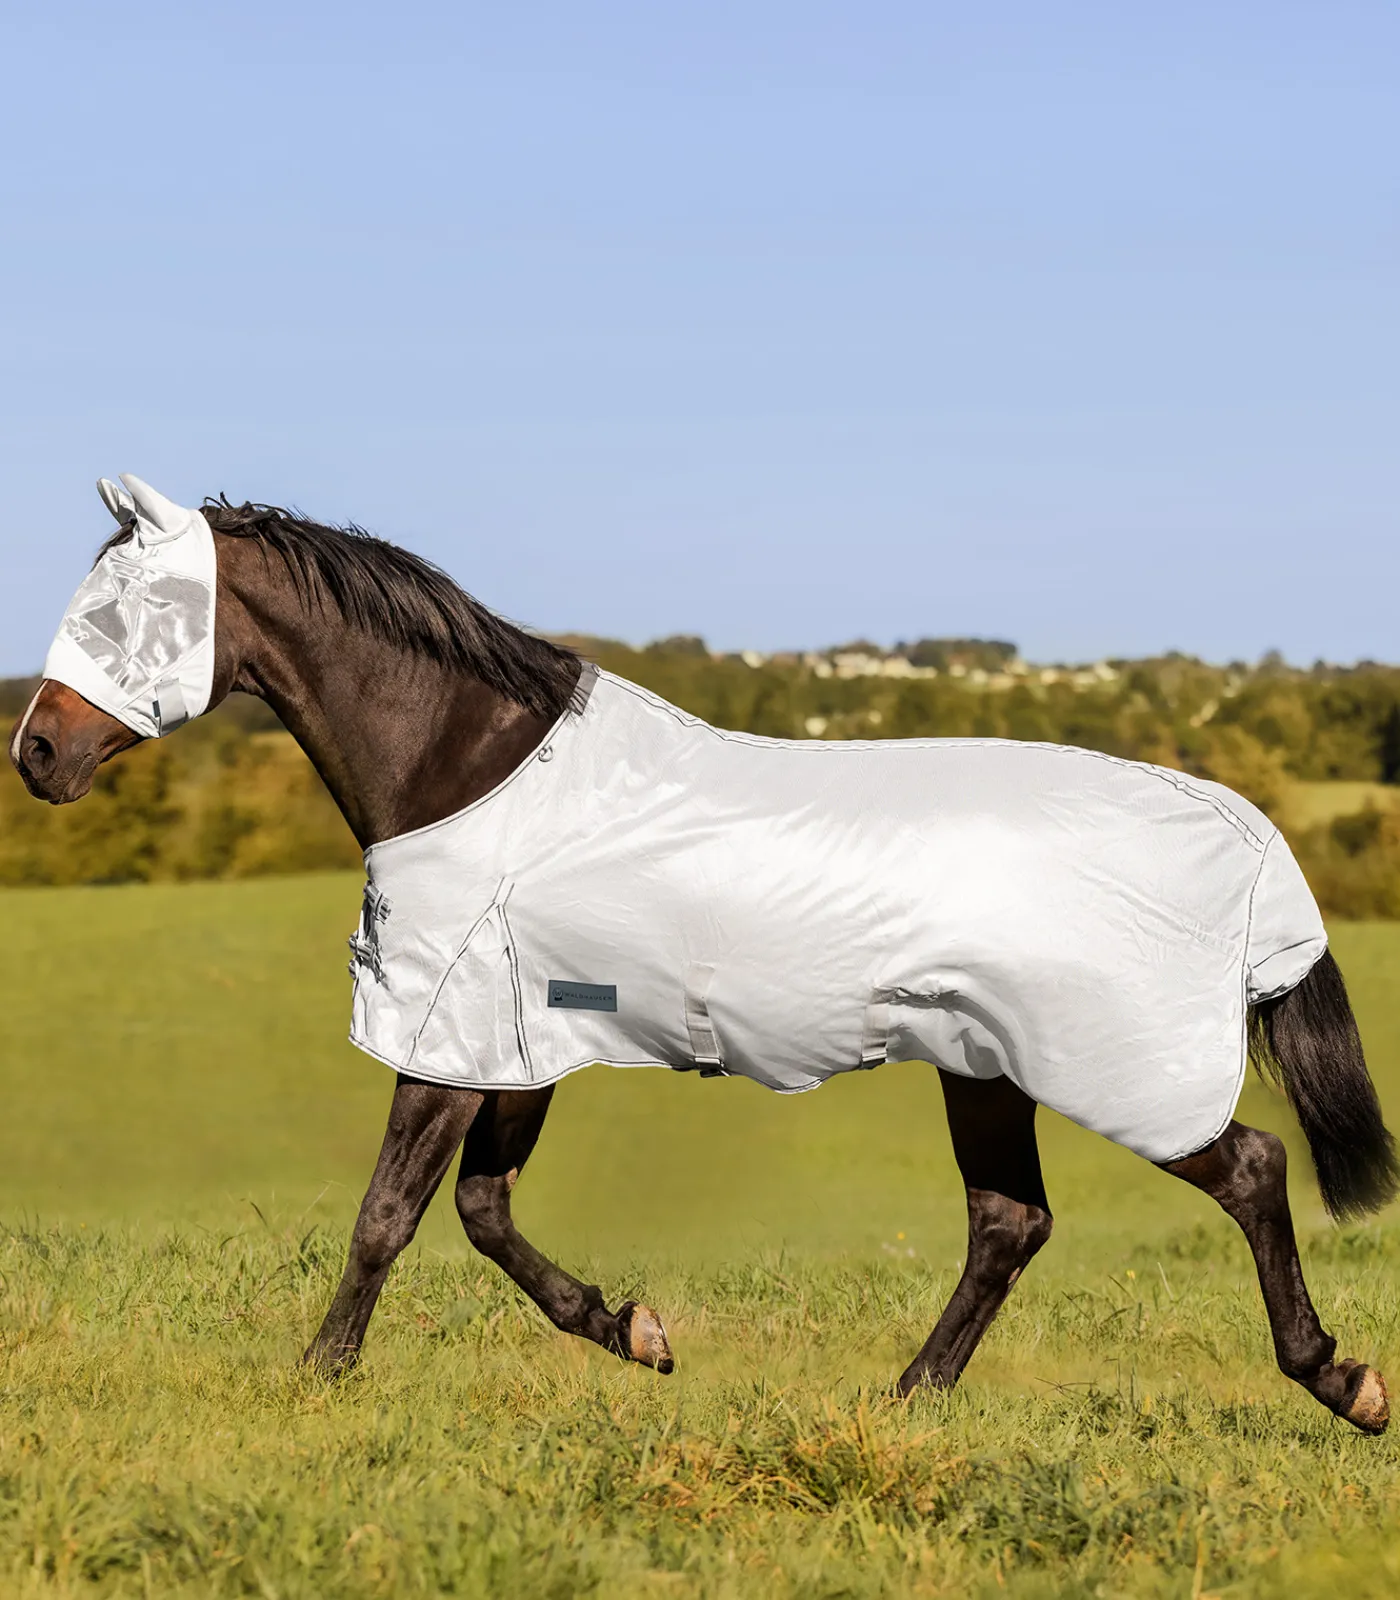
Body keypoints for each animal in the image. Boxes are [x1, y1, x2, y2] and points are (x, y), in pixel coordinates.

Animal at [11, 475, 1397, 1435]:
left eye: (124, 615)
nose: (37, 753)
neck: (469, 763)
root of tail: (1233, 829)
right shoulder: (522, 1044)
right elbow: (480, 1212)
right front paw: (634, 1331)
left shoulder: (450, 1040)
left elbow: (387, 1215)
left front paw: (317, 1375)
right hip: (983, 1069)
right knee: (1011, 1222)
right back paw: (904, 1398)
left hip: (1105, 1067)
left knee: (1247, 1167)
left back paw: (1338, 1381)